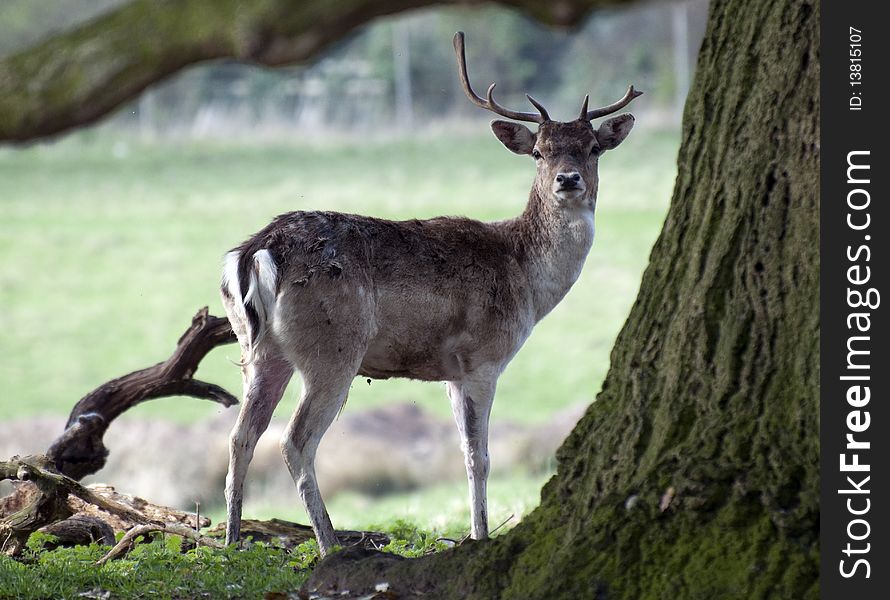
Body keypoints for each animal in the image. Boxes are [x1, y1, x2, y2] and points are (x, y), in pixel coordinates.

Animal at [220, 34, 640, 556]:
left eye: (593, 148)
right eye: (540, 152)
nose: (568, 179)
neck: (525, 276)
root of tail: (258, 251)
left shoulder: (451, 373)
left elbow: (464, 452)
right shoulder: (483, 359)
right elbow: (480, 456)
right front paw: (480, 535)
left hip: (258, 349)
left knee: (241, 436)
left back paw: (231, 542)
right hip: (333, 348)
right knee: (295, 441)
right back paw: (331, 545)